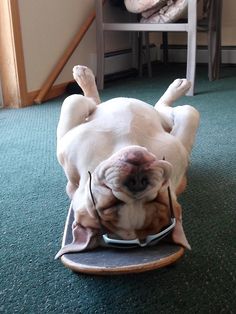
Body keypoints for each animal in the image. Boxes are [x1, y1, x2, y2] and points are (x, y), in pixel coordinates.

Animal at [55, 64, 199, 258]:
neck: (127, 141)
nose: (137, 181)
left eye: (158, 199)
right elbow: (74, 100)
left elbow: (190, 113)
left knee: (161, 107)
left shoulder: (179, 151)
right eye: (111, 203)